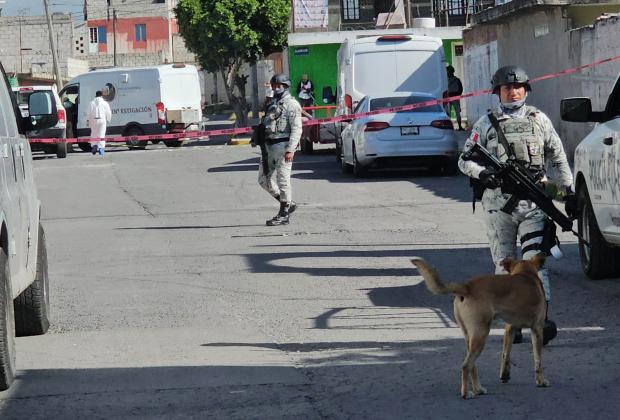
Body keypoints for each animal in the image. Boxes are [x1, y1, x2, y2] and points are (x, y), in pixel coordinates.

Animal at [412, 254, 548, 398]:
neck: (526, 273)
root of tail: (467, 287)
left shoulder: (510, 329)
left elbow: (505, 354)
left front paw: (505, 375)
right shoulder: (537, 329)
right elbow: (538, 360)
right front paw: (541, 381)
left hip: (470, 336)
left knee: (472, 366)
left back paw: (478, 389)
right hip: (481, 335)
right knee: (466, 366)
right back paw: (466, 393)